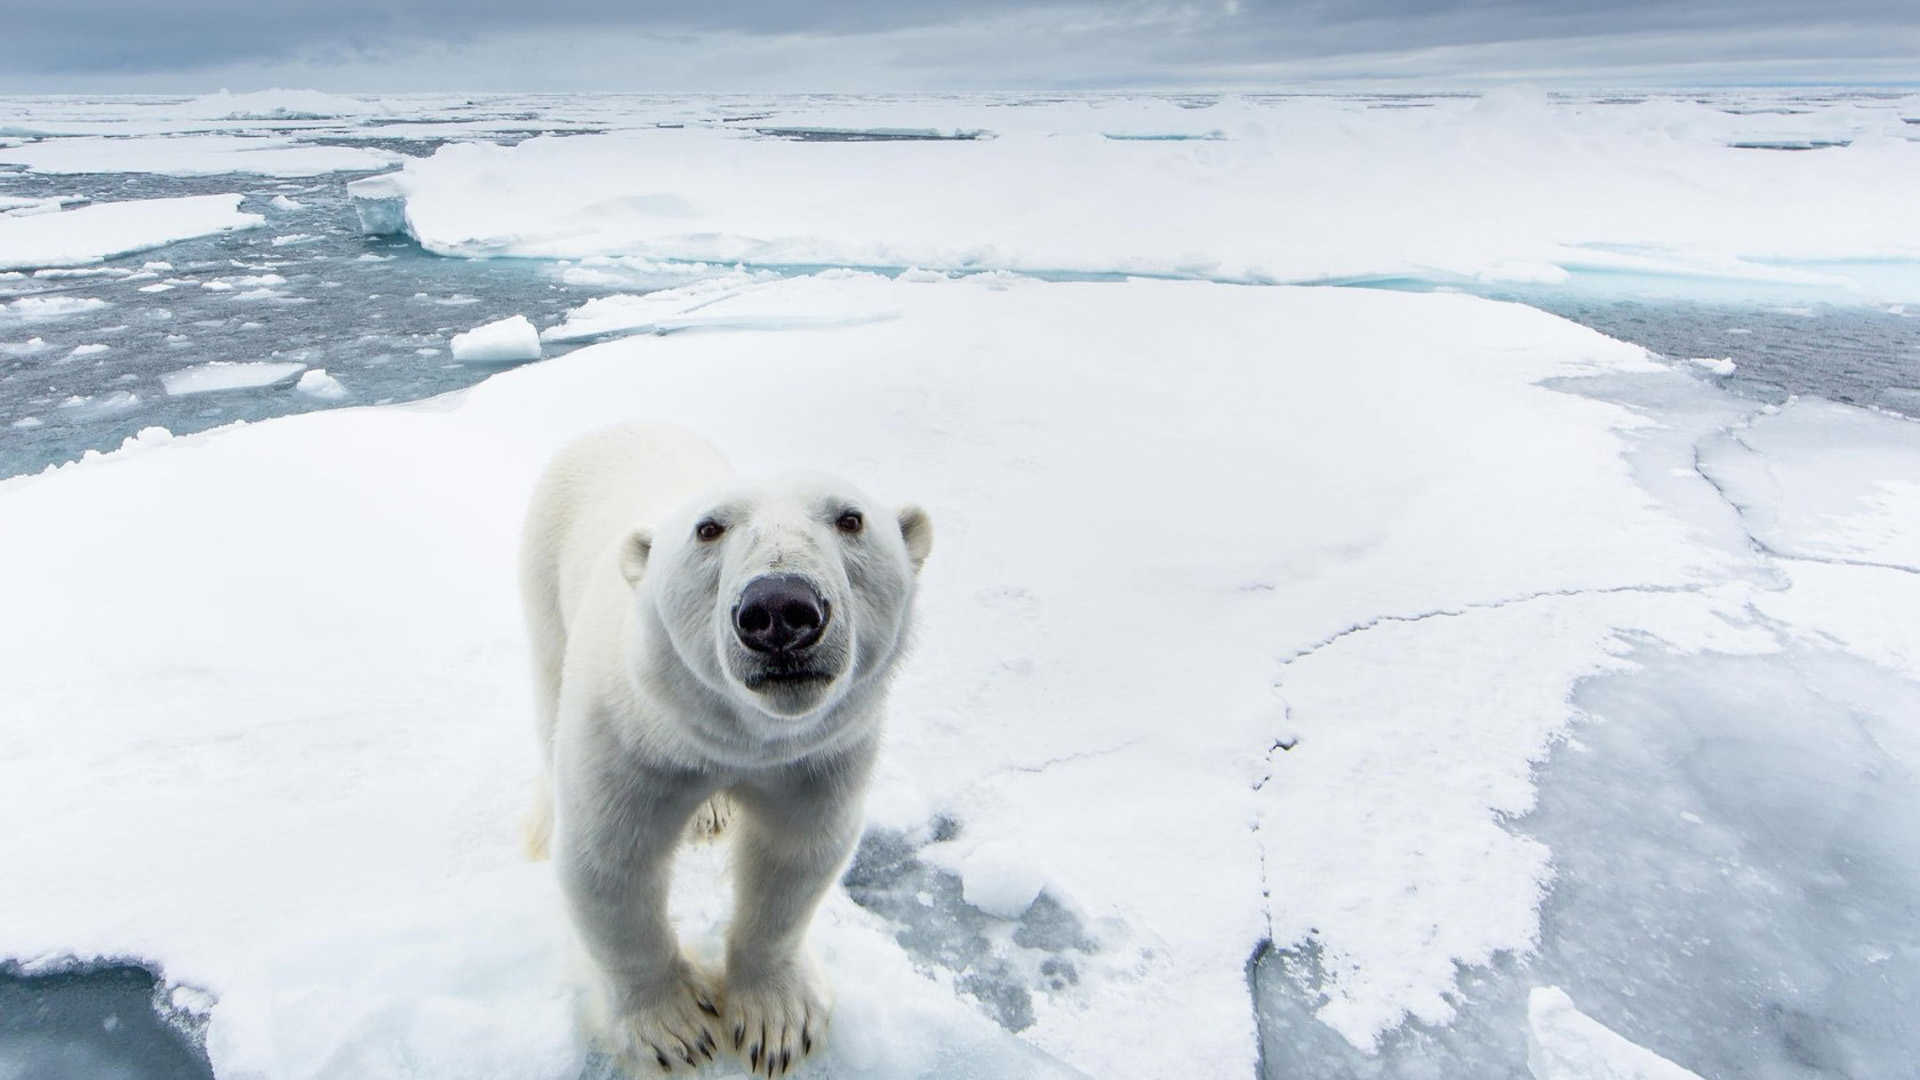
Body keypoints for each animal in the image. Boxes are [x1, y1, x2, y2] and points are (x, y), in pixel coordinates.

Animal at [514, 420, 925, 1068]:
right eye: (708, 528)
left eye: (851, 518)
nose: (780, 608)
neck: (739, 738)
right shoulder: (632, 737)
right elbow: (610, 860)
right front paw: (674, 1030)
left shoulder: (816, 755)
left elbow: (793, 855)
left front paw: (778, 1021)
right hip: (544, 572)